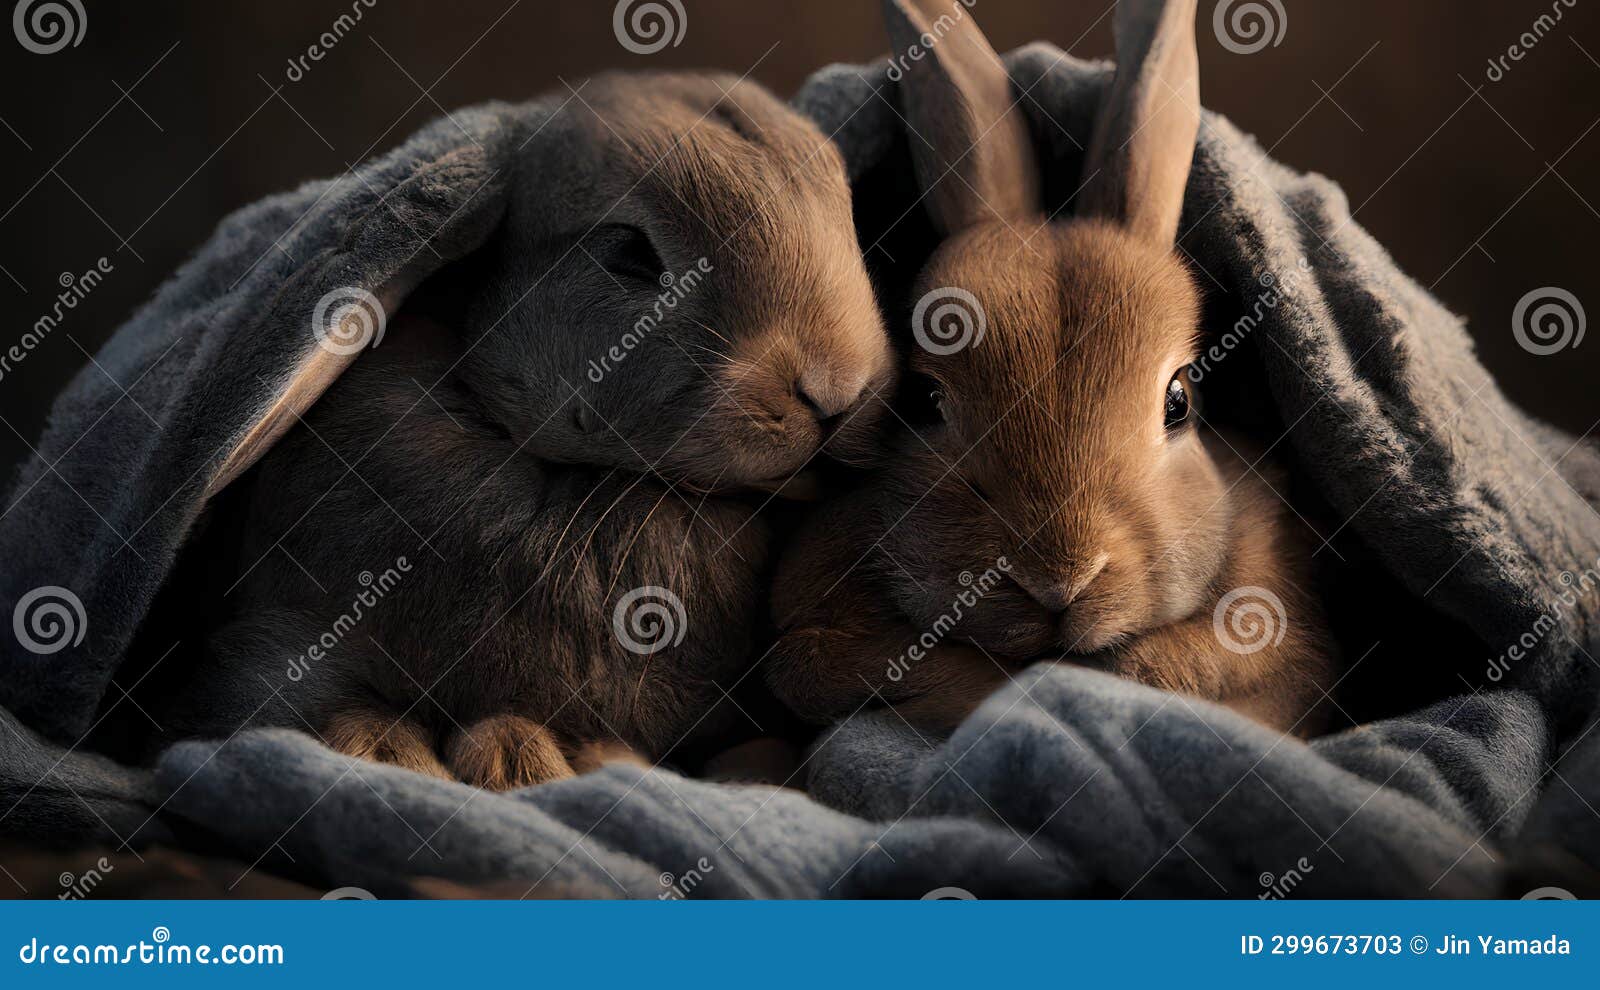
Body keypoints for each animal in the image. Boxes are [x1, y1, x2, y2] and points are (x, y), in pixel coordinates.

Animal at [155, 71, 895, 790]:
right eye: (629, 252)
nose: (837, 391)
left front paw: (534, 756)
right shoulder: (269, 651)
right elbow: (318, 705)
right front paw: (409, 753)